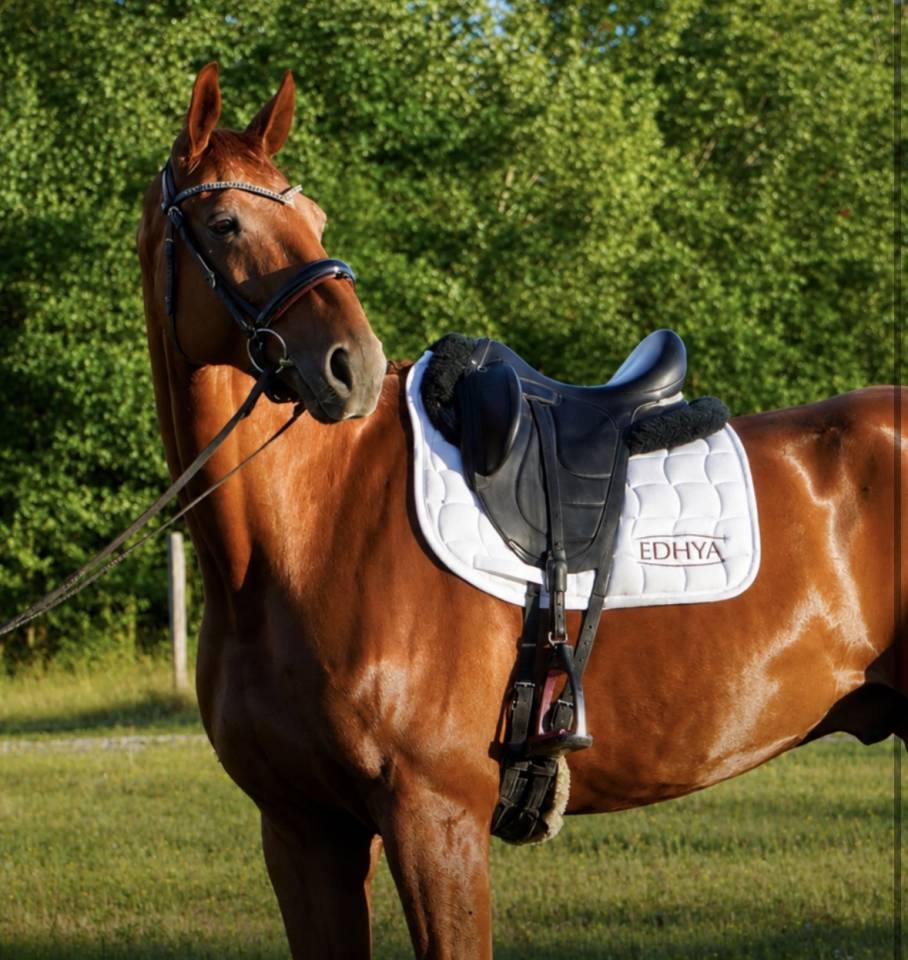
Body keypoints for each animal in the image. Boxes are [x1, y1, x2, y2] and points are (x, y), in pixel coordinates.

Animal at [137, 63, 906, 959]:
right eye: (225, 222)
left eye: (315, 216)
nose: (349, 364)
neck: (305, 540)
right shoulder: (303, 833)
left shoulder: (435, 818)